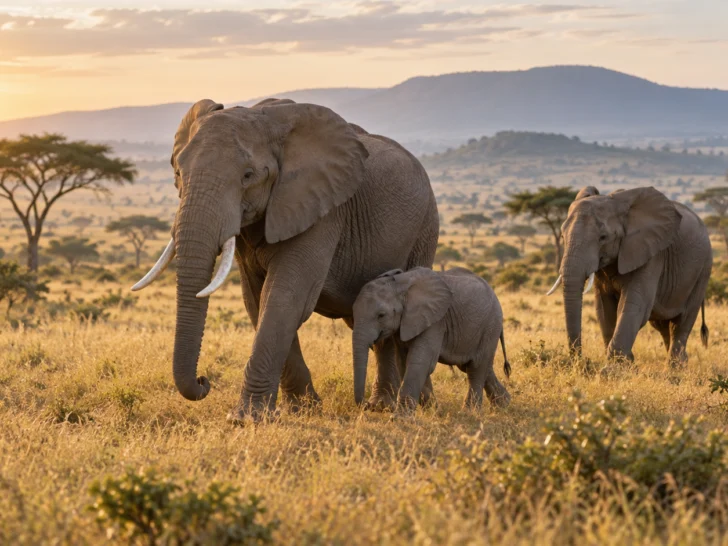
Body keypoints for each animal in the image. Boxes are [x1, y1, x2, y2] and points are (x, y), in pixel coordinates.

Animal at [132, 98, 439, 422]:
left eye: (248, 175)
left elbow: (286, 296)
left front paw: (245, 419)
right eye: (178, 173)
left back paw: (405, 405)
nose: (204, 381)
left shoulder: (322, 209)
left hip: (425, 228)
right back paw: (392, 404)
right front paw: (302, 408)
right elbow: (256, 299)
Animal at [352, 267, 511, 412]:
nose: (367, 405)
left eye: (381, 315)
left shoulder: (435, 321)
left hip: (490, 325)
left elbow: (420, 362)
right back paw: (504, 404)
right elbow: (403, 362)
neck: (401, 285)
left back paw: (470, 412)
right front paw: (433, 410)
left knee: (476, 368)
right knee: (475, 366)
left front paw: (400, 417)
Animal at [547, 185, 712, 364]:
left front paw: (615, 366)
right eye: (562, 236)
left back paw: (675, 366)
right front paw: (626, 363)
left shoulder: (650, 253)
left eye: (603, 237)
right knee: (662, 325)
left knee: (682, 321)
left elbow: (635, 305)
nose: (579, 360)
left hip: (703, 269)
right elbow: (604, 309)